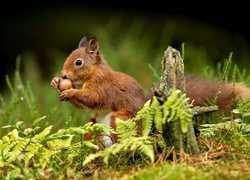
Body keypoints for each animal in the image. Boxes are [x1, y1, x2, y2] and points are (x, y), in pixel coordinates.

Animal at [50, 35, 250, 147]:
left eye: (78, 62)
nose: (63, 75)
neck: (92, 75)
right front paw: (56, 82)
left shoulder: (103, 86)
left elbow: (93, 98)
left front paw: (70, 92)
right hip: (92, 124)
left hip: (121, 119)